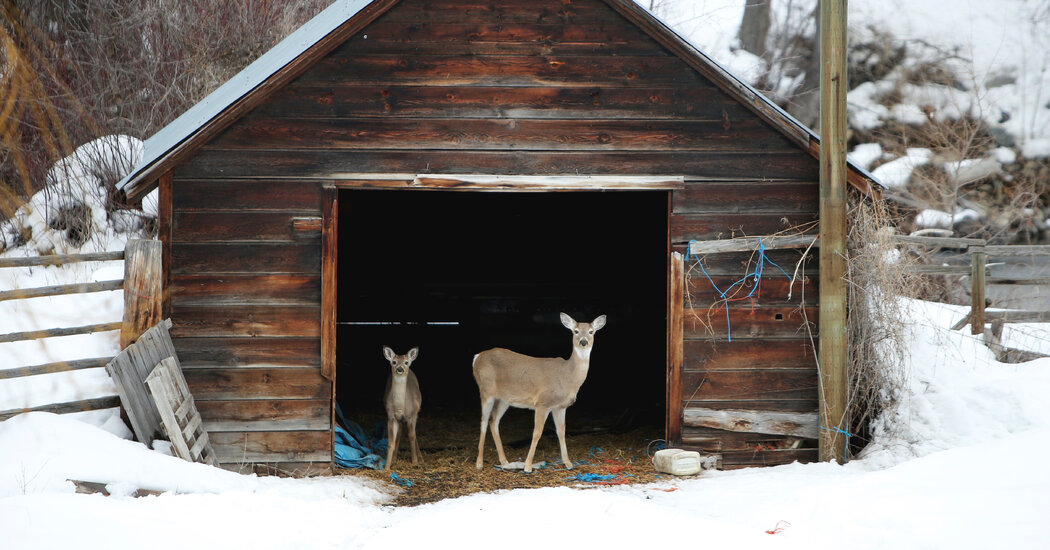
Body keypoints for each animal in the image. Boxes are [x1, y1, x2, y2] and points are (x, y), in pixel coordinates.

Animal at [474, 312, 613, 472]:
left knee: (493, 421)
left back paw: (504, 461)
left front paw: (568, 463)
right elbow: (537, 433)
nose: (583, 342)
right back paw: (479, 463)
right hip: (486, 390)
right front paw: (528, 466)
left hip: (504, 399)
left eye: (591, 331)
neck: (567, 377)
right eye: (576, 331)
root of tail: (477, 357)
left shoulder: (560, 407)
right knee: (483, 421)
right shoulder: (542, 402)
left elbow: (561, 432)